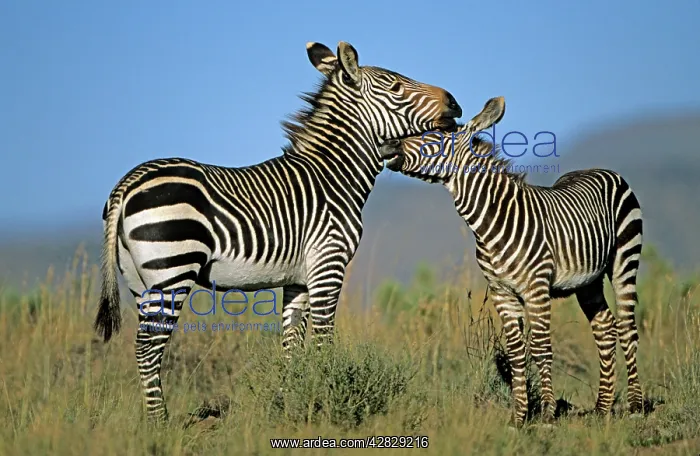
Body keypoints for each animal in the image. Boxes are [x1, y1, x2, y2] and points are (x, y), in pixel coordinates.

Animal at [93, 40, 463, 423]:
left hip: (139, 280)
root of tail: (129, 182)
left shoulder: (298, 279)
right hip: (173, 268)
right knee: (148, 346)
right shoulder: (329, 264)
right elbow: (323, 340)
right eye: (397, 88)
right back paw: (159, 422)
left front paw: (291, 403)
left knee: (144, 344)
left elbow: (292, 344)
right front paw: (327, 398)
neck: (334, 176)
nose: (455, 103)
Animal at [379, 96, 644, 428]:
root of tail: (601, 170)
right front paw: (519, 417)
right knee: (605, 328)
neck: (490, 222)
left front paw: (547, 414)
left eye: (435, 137)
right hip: (588, 281)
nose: (386, 145)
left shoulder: (536, 288)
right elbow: (517, 352)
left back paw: (635, 406)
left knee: (627, 328)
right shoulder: (501, 292)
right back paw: (602, 408)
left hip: (624, 259)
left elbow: (541, 348)